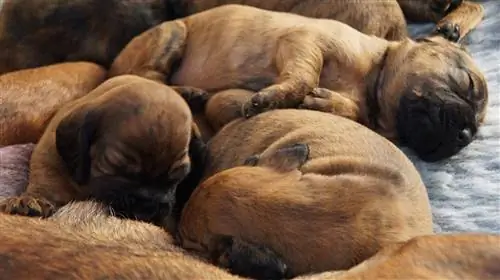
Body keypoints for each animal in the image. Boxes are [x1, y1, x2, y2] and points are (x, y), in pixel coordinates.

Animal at [0, 74, 205, 228]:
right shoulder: (50, 162)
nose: (148, 208)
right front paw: (30, 200)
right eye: (117, 166)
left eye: (178, 177)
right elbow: (45, 185)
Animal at [108, 4, 488, 162]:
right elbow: (304, 75)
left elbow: (345, 108)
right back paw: (184, 91)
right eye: (467, 84)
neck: (370, 82)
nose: (466, 134)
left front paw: (325, 103)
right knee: (145, 76)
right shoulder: (305, 42)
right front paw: (279, 97)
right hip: (172, 34)